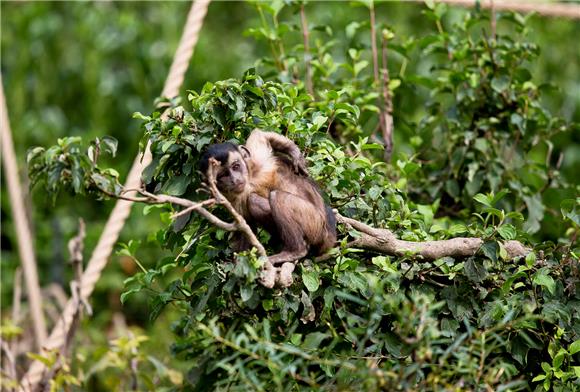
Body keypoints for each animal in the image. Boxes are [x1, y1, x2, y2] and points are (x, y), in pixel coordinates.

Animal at [199, 130, 336, 264]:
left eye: (236, 166)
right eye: (223, 175)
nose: (235, 180)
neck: (250, 181)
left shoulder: (259, 158)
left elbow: (260, 135)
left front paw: (295, 153)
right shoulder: (233, 198)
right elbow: (245, 226)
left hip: (316, 224)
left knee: (276, 197)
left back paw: (295, 251)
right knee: (254, 201)